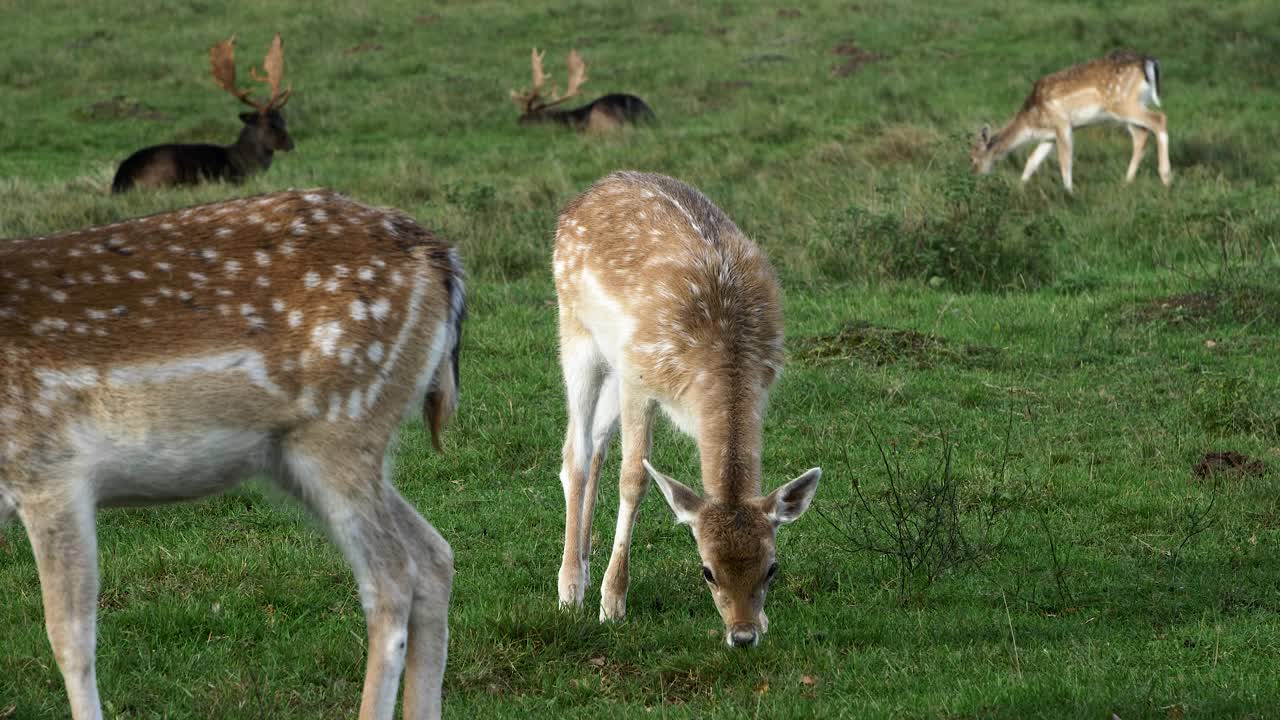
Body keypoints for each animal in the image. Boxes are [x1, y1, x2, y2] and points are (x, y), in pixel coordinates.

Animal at [0, 185, 468, 717]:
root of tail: (440, 258)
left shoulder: (48, 469)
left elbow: (71, 639)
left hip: (342, 428)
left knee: (392, 578)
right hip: (301, 456)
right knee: (434, 555)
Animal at [550, 170, 819, 648]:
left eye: (772, 567)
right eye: (706, 571)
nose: (743, 635)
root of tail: (585, 195)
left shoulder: (763, 386)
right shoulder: (640, 382)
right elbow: (634, 479)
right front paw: (612, 604)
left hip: (614, 357)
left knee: (596, 443)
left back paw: (583, 562)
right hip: (576, 331)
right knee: (575, 451)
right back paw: (570, 589)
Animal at [967, 50, 1172, 192]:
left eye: (974, 158)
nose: (974, 176)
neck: (1032, 121)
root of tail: (1148, 62)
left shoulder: (1062, 124)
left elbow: (1065, 160)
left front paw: (1068, 192)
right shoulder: (1048, 136)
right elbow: (1032, 161)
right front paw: (1020, 187)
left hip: (1122, 103)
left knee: (1159, 119)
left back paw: (1166, 177)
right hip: (1131, 106)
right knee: (1141, 135)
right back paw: (1127, 181)